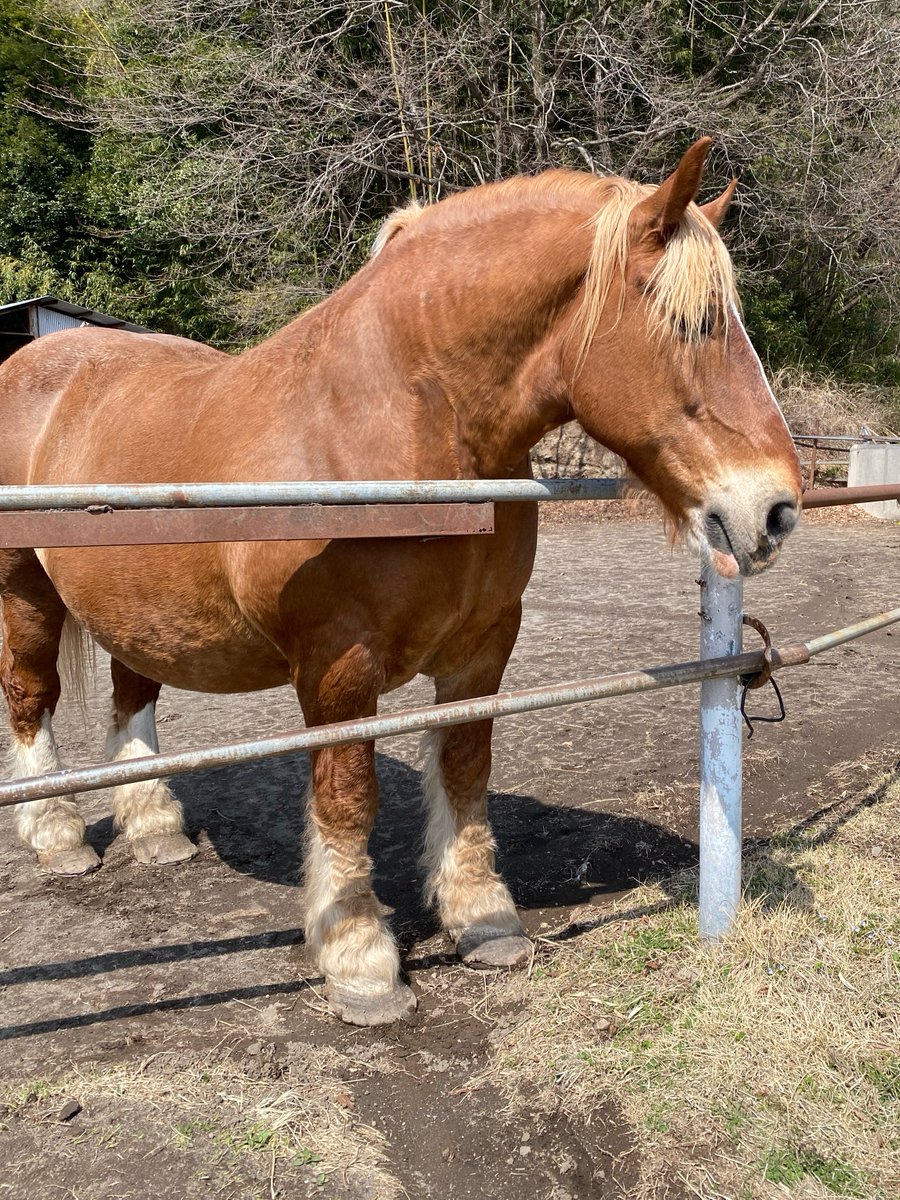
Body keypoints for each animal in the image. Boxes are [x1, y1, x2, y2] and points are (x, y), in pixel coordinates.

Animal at [0, 138, 801, 1026]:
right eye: (695, 323)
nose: (775, 509)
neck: (396, 426)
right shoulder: (337, 664)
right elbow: (350, 797)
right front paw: (360, 959)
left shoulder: (483, 647)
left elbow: (465, 770)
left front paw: (484, 921)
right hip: (25, 594)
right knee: (30, 697)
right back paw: (57, 836)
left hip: (136, 609)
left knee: (132, 696)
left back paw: (154, 830)